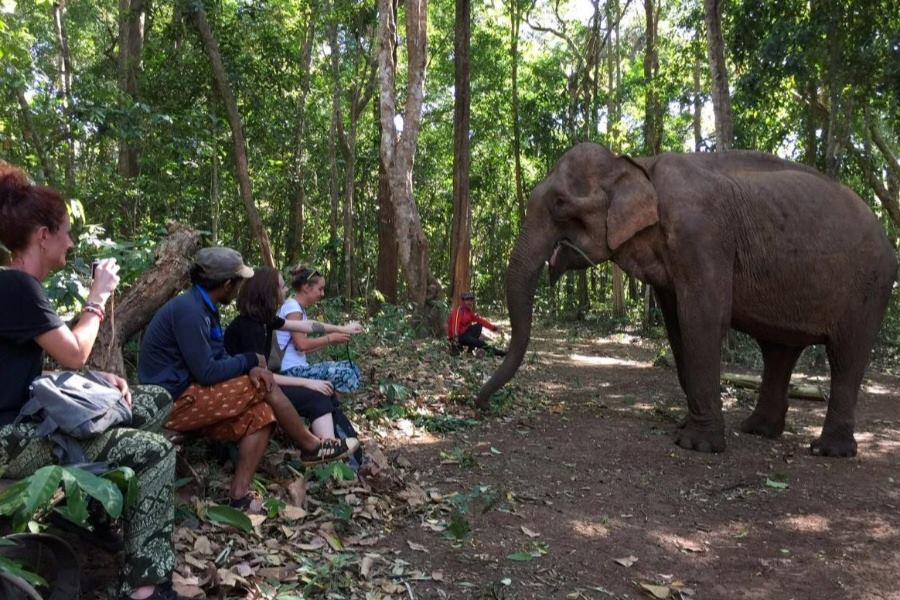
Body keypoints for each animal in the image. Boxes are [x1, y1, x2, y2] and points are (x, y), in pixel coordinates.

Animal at [476, 143, 897, 457]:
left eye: (561, 203)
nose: (477, 403)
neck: (638, 164)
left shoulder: (701, 235)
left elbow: (703, 318)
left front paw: (696, 445)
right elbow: (677, 325)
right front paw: (686, 426)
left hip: (870, 287)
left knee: (847, 355)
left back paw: (828, 450)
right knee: (779, 351)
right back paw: (757, 430)